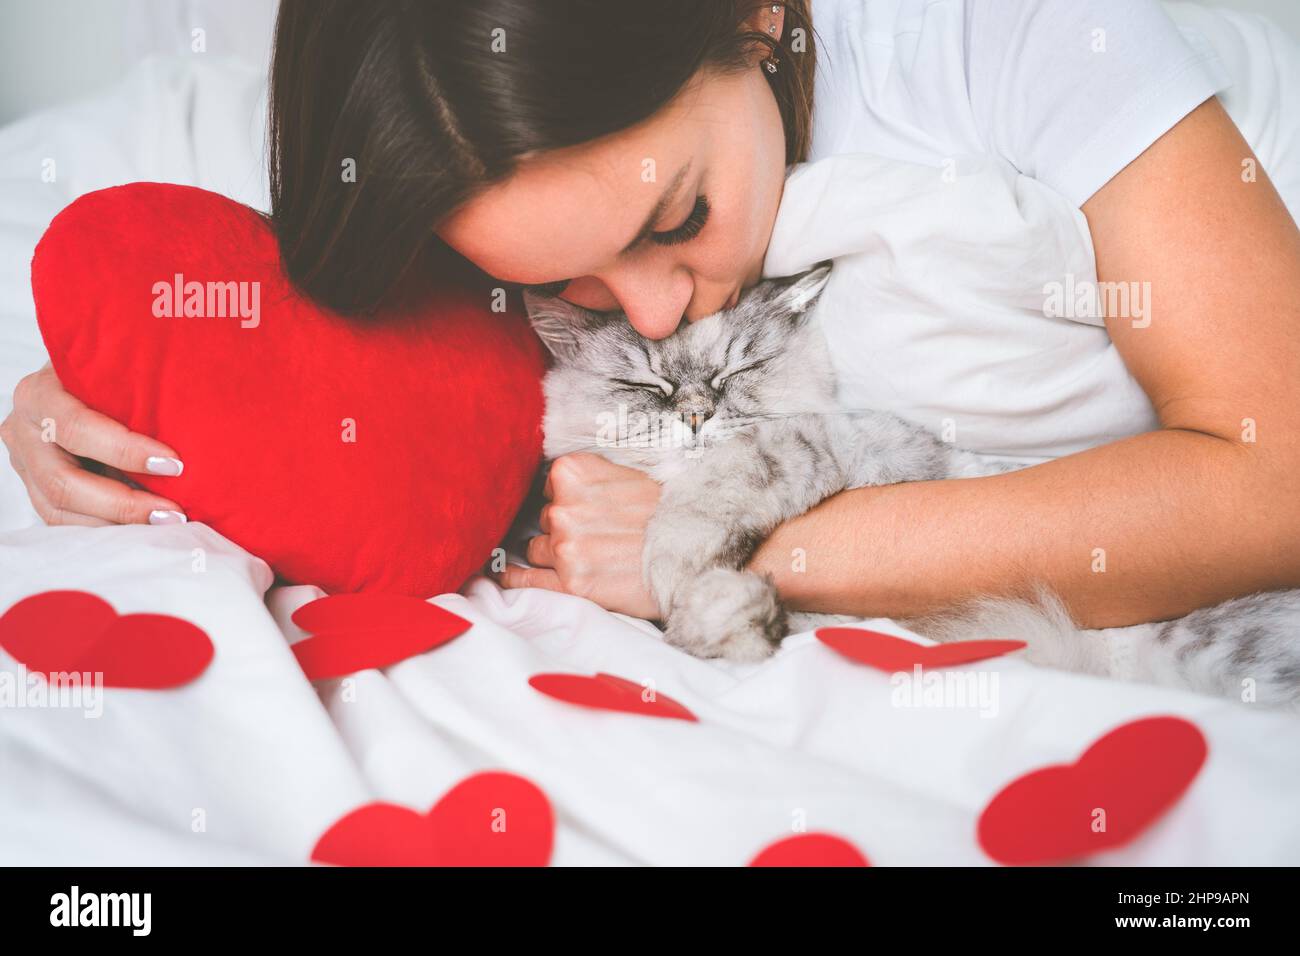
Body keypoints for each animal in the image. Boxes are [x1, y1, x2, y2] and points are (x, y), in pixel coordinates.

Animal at [525, 265, 1300, 707]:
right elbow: (735, 622)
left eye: (736, 371)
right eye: (642, 385)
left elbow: (733, 474)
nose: (693, 415)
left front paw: (675, 564)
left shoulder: (857, 446)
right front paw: (718, 613)